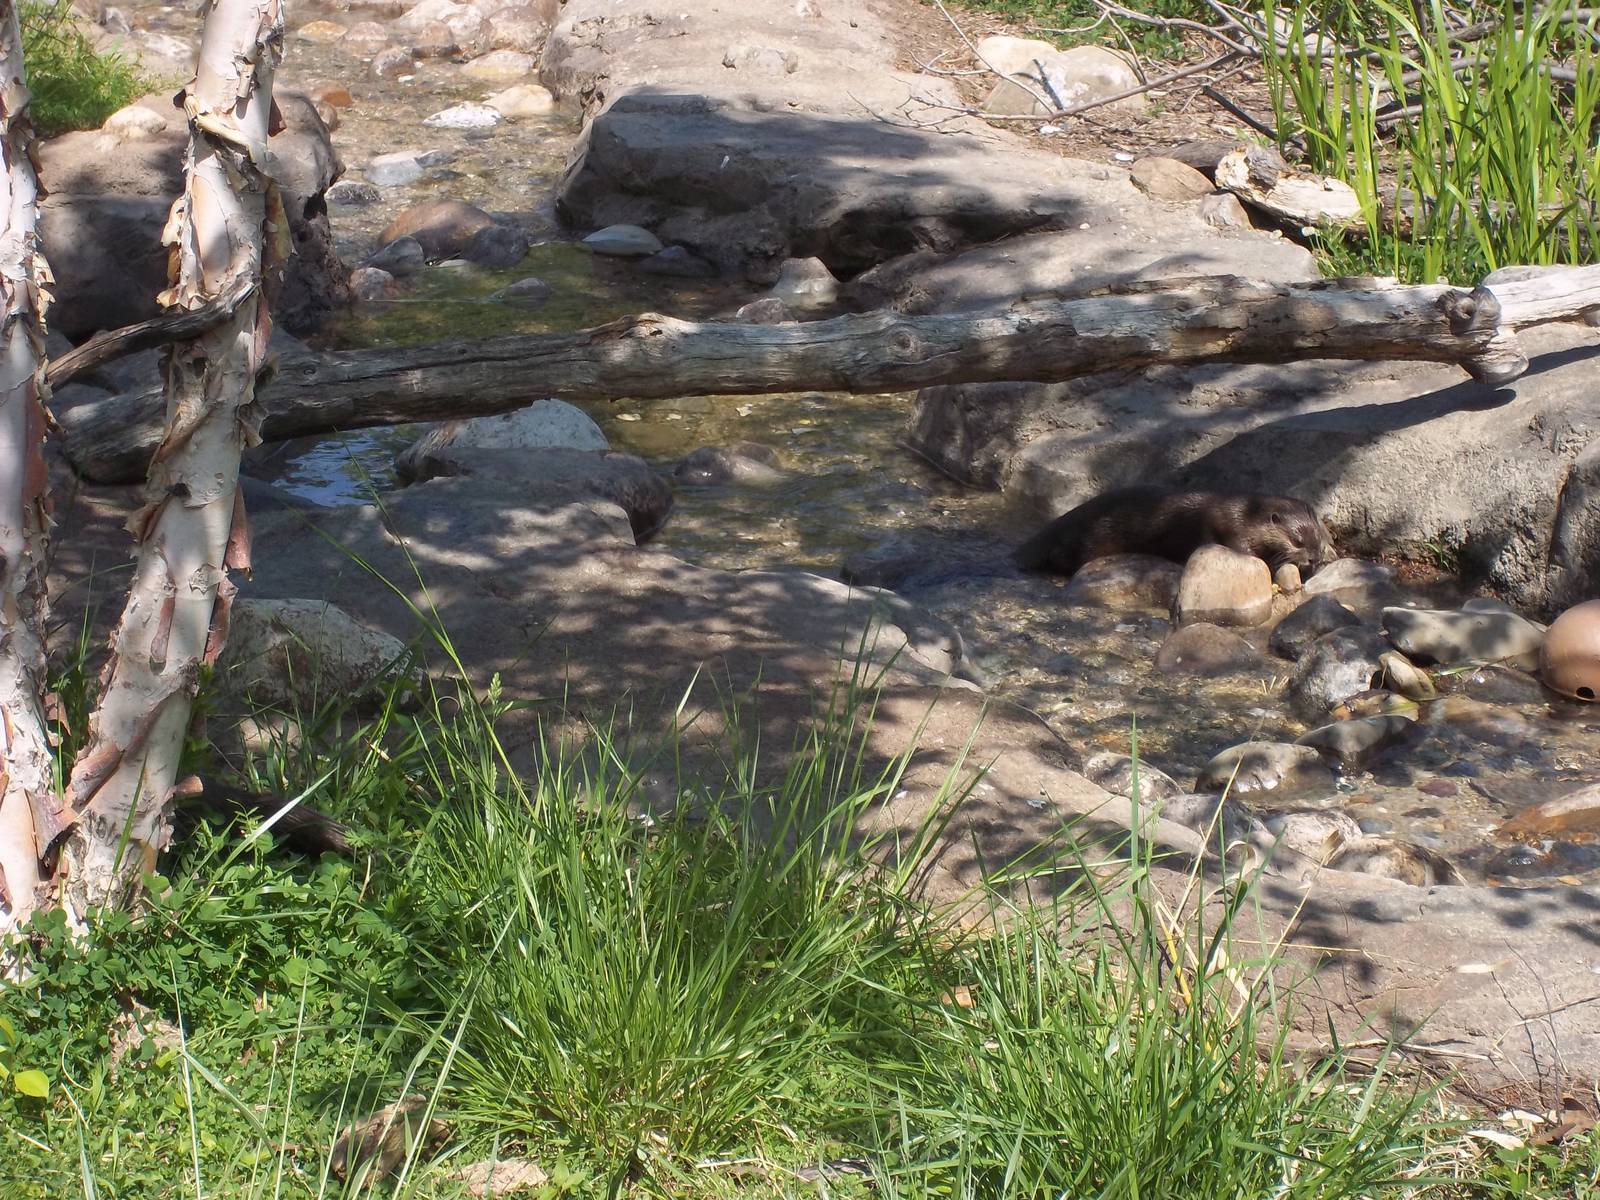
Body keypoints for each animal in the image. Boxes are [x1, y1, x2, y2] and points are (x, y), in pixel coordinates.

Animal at [1015, 487, 1333, 577]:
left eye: (1318, 539)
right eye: (1297, 541)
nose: (1314, 559)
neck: (1245, 513)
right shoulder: (1227, 527)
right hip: (1090, 538)